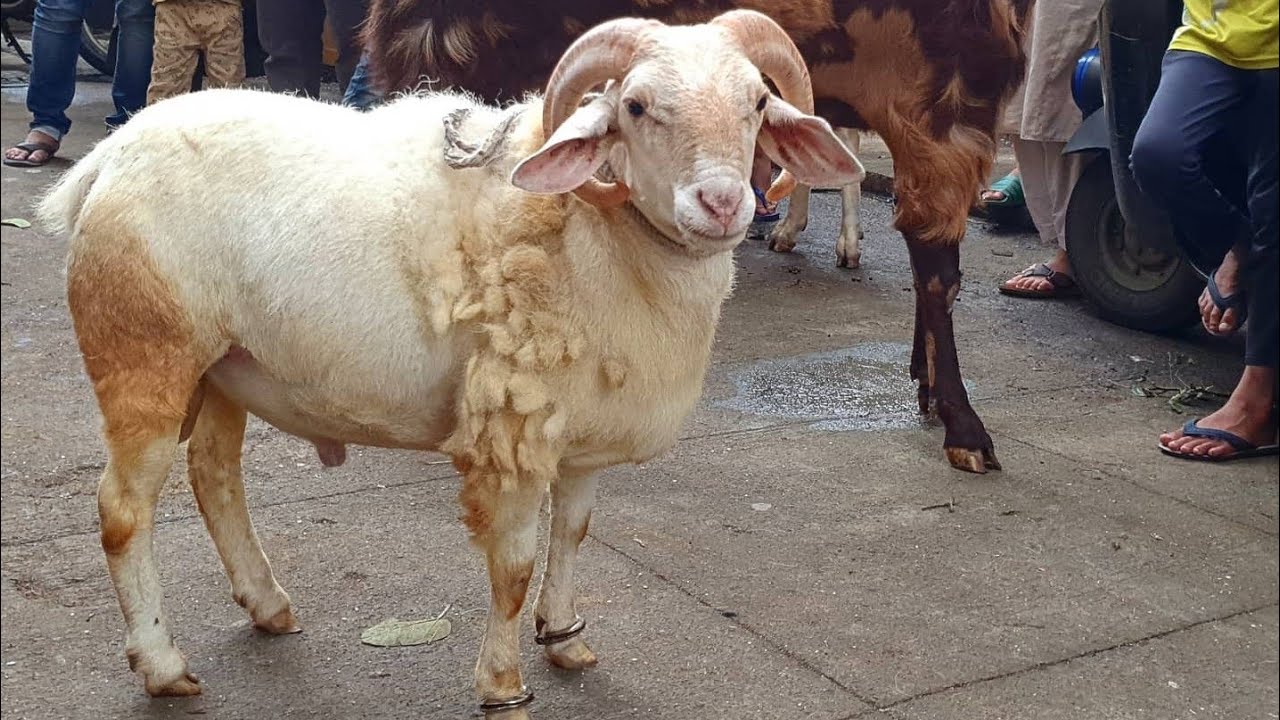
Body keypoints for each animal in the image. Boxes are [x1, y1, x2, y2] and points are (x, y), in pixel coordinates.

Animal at [40, 11, 860, 717]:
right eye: (634, 106)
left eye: (758, 101)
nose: (722, 203)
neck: (598, 237)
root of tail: (110, 157)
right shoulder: (515, 429)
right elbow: (514, 565)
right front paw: (502, 684)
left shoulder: (581, 429)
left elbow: (574, 534)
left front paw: (566, 639)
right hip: (144, 354)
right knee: (124, 510)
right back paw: (163, 666)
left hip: (226, 366)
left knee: (215, 474)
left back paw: (267, 605)